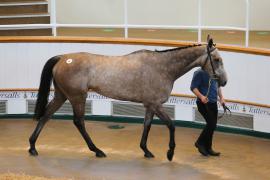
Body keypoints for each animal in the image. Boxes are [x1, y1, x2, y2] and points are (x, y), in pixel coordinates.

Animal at [29, 35, 228, 161]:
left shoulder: (150, 105)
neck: (162, 67)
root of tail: (63, 58)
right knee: (78, 122)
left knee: (46, 116)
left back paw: (32, 147)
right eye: (217, 59)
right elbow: (171, 125)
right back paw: (97, 150)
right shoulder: (156, 104)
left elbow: (147, 126)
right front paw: (170, 153)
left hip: (61, 95)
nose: (224, 81)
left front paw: (146, 150)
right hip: (77, 97)